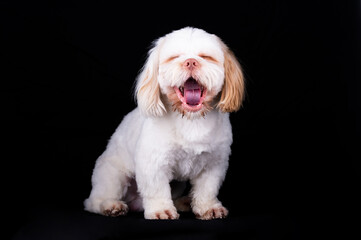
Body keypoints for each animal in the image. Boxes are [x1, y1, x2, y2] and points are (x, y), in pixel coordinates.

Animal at [83, 26, 243, 219]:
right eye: (174, 57)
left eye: (205, 57)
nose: (190, 62)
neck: (190, 119)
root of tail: (134, 202)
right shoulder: (153, 163)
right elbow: (156, 190)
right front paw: (161, 210)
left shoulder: (214, 163)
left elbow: (207, 189)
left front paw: (208, 208)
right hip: (112, 174)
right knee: (95, 200)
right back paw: (110, 205)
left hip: (177, 185)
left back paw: (184, 202)